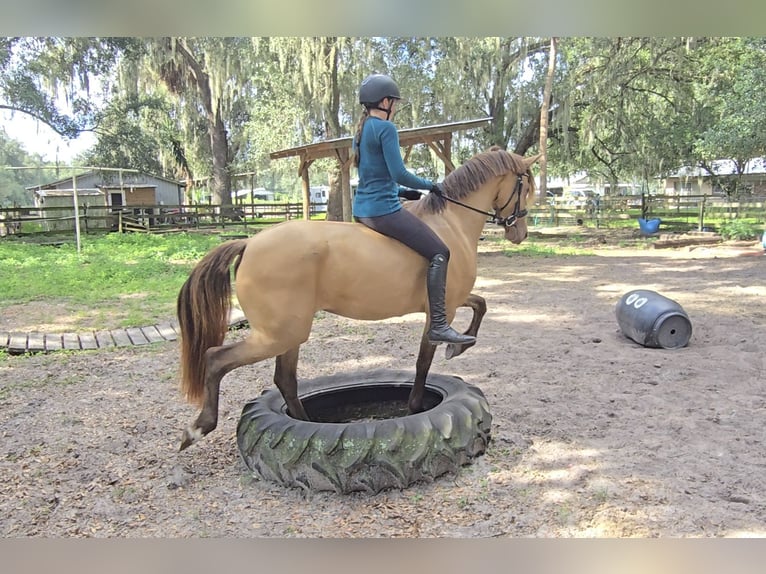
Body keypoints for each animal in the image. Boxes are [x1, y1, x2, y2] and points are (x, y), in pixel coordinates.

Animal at [177, 148, 541, 450]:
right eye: (526, 186)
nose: (519, 233)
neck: (450, 221)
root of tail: (249, 243)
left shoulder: (447, 302)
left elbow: (480, 304)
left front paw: (458, 347)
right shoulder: (443, 309)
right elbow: (425, 360)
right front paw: (417, 402)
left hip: (289, 333)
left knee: (285, 379)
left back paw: (305, 424)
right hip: (277, 334)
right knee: (216, 359)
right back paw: (198, 428)